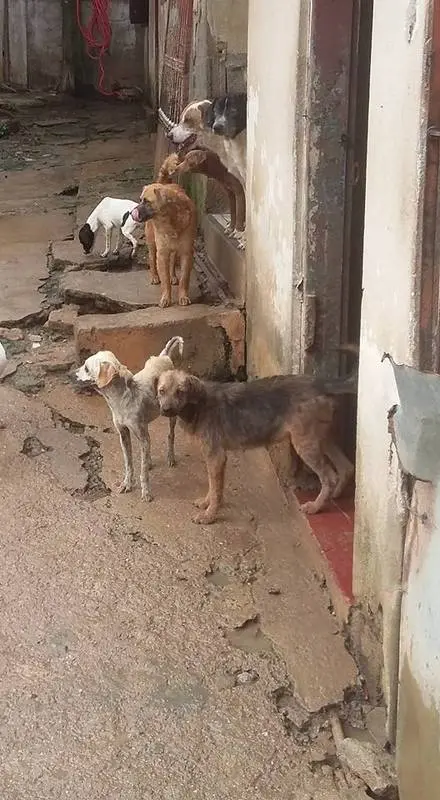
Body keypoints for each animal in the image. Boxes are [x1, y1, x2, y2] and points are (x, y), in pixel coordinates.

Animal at [75, 336, 184, 500]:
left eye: (86, 368)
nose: (72, 373)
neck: (121, 399)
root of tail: (164, 356)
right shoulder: (124, 434)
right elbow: (129, 464)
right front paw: (127, 484)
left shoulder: (141, 435)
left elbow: (143, 472)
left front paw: (146, 492)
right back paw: (150, 460)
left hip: (172, 415)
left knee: (171, 435)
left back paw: (170, 457)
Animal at [131, 182, 197, 310]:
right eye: (140, 200)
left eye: (147, 201)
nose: (132, 213)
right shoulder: (162, 254)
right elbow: (165, 279)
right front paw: (166, 298)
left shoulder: (186, 253)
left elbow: (184, 278)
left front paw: (183, 297)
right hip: (152, 244)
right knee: (152, 259)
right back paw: (155, 277)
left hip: (174, 249)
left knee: (172, 261)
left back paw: (173, 276)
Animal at [156, 368, 356, 524]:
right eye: (161, 391)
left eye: (180, 391)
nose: (166, 410)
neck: (198, 405)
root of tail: (320, 383)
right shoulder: (212, 457)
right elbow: (213, 487)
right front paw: (206, 504)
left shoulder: (216, 456)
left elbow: (216, 489)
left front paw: (209, 515)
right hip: (321, 438)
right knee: (346, 467)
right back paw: (334, 495)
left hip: (306, 444)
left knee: (330, 476)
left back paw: (316, 506)